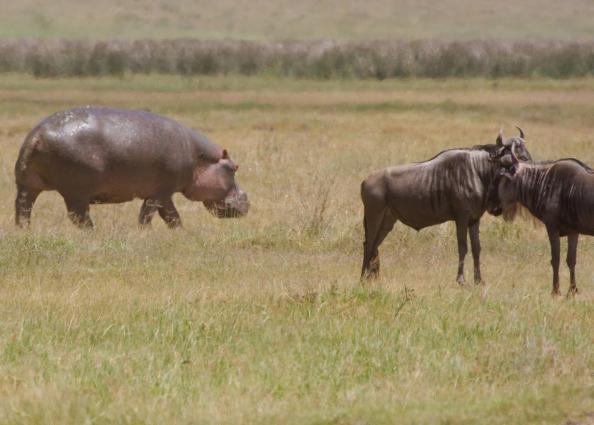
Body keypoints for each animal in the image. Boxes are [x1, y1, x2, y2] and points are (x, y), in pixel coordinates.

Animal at [13, 106, 250, 227]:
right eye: (234, 167)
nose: (248, 201)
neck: (201, 159)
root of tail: (37, 135)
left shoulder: (156, 193)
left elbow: (161, 216)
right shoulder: (161, 192)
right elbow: (163, 216)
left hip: (27, 186)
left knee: (23, 210)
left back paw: (25, 231)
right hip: (75, 192)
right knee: (79, 218)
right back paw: (94, 233)